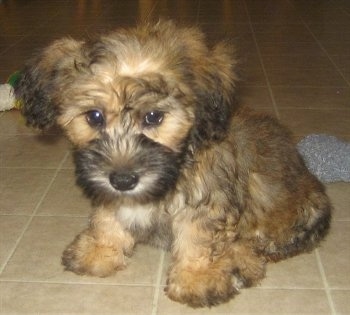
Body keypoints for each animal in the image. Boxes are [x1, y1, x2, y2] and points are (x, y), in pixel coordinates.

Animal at [14, 21, 330, 308]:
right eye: (94, 116)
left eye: (154, 117)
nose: (123, 180)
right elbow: (107, 216)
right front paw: (101, 249)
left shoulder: (206, 198)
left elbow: (198, 236)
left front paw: (197, 278)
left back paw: (241, 261)